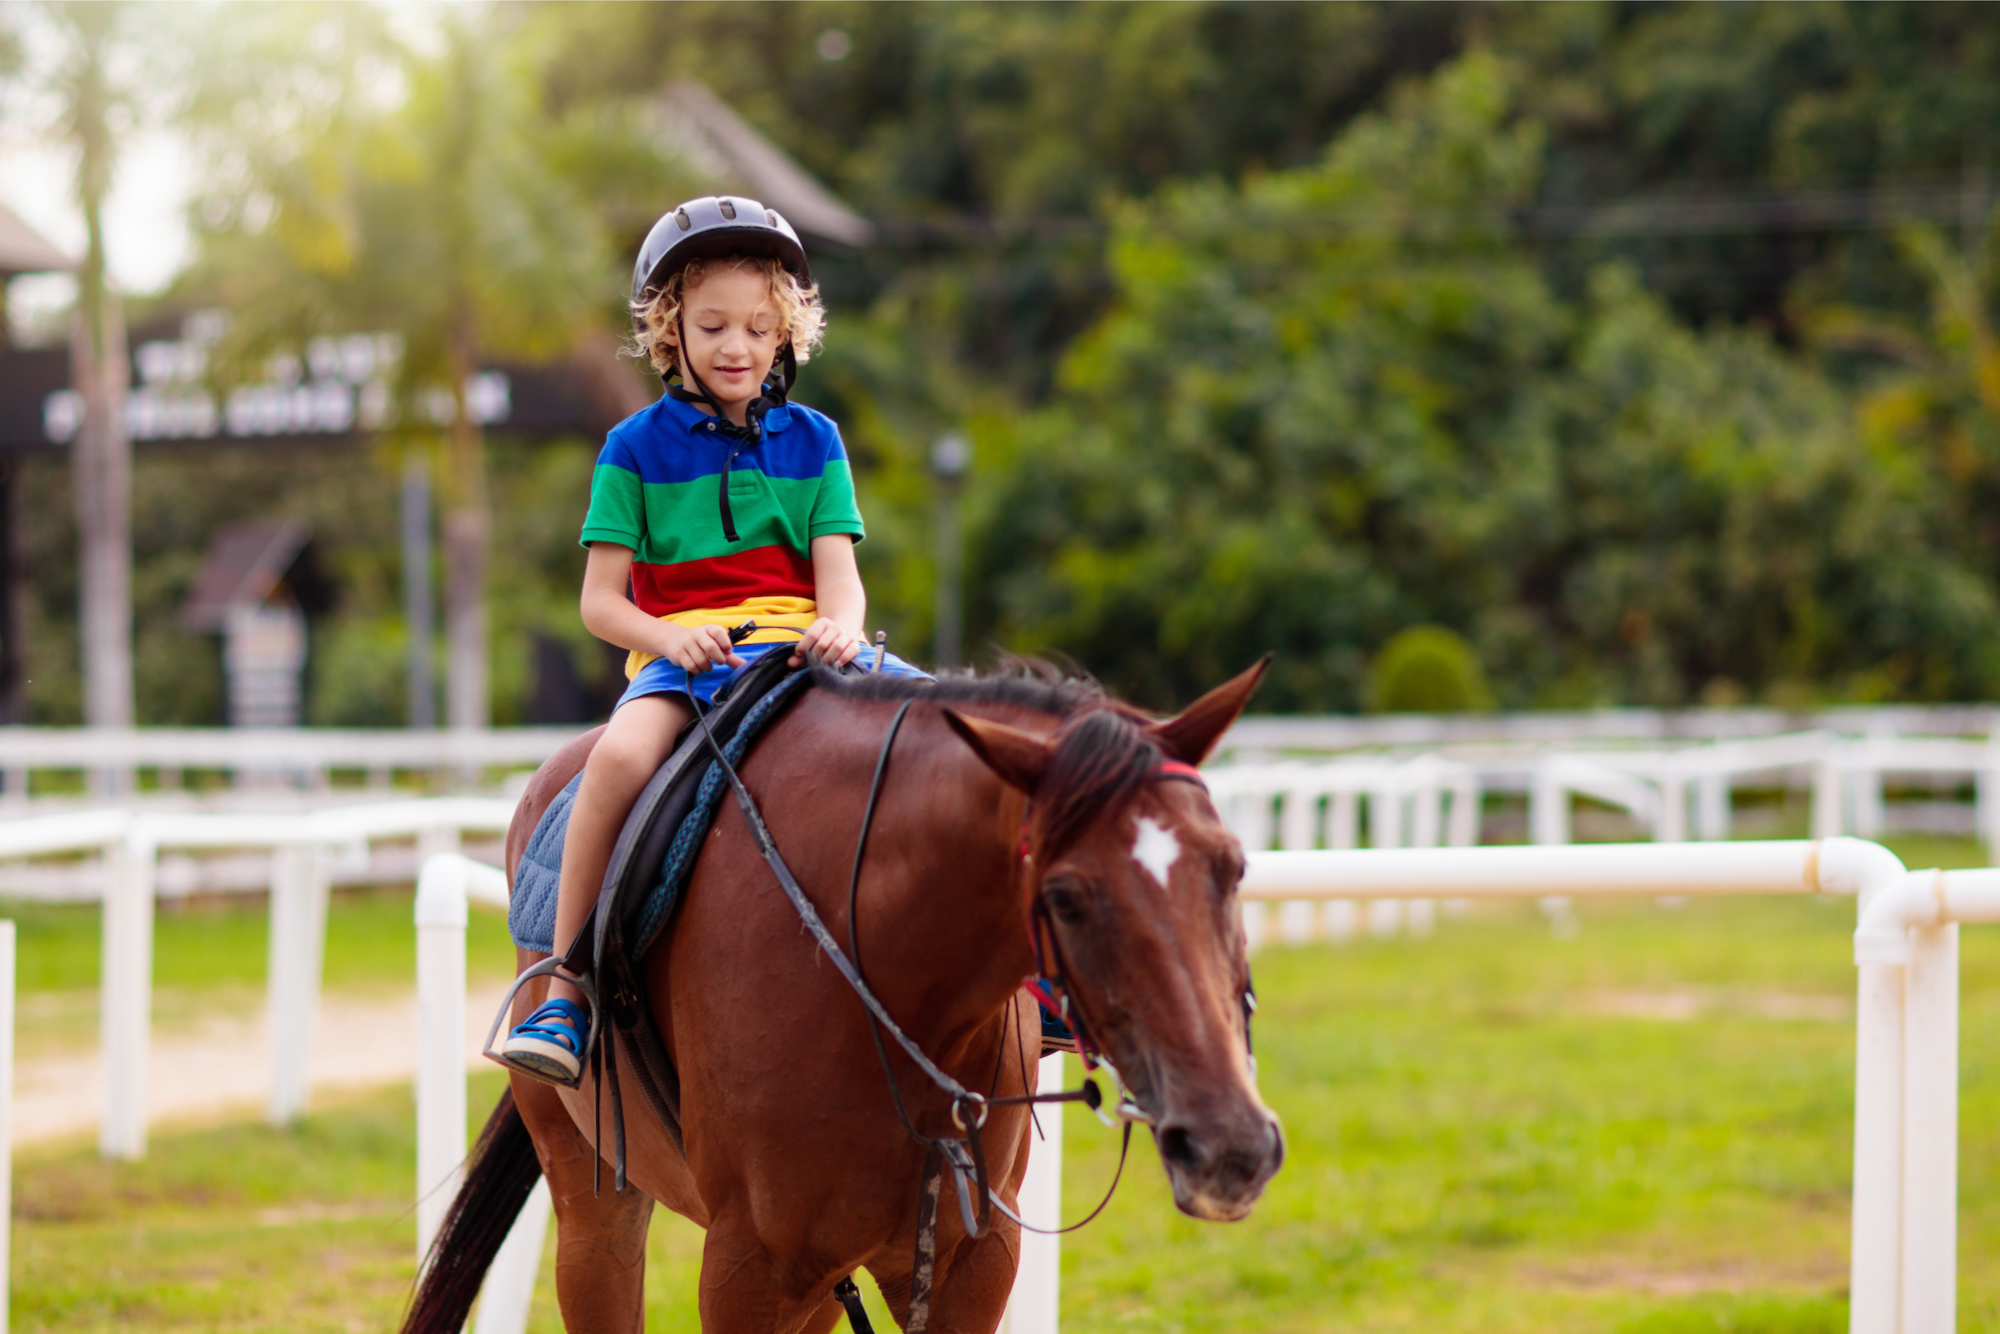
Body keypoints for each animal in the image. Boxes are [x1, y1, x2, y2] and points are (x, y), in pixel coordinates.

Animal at [402, 658, 1284, 1333]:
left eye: (1233, 865)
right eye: (1065, 898)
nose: (1230, 1147)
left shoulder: (974, 1259)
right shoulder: (746, 1270)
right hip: (597, 1211)